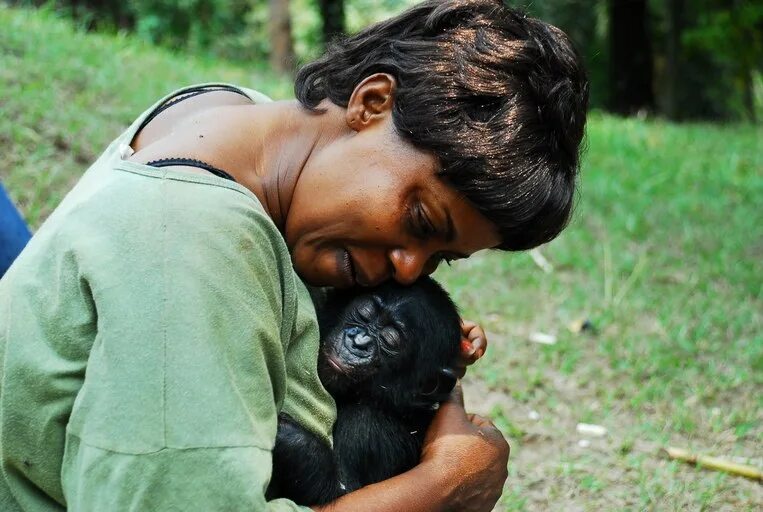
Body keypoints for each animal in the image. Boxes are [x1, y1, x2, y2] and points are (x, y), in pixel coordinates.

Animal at [266, 276, 462, 504]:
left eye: (389, 340)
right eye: (363, 314)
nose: (358, 341)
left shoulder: (362, 426)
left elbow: (343, 490)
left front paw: (286, 433)